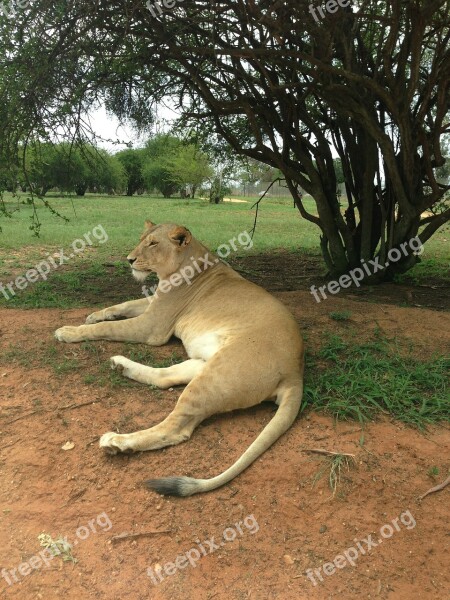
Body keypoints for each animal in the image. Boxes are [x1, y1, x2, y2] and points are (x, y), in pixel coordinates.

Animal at [54, 221, 304, 496]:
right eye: (142, 239)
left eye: (153, 243)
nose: (129, 260)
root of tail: (296, 372)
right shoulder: (153, 304)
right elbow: (125, 303)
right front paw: (95, 314)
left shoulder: (152, 327)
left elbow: (107, 328)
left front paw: (69, 331)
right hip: (205, 363)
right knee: (166, 377)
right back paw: (120, 365)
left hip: (219, 373)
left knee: (175, 429)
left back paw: (118, 441)